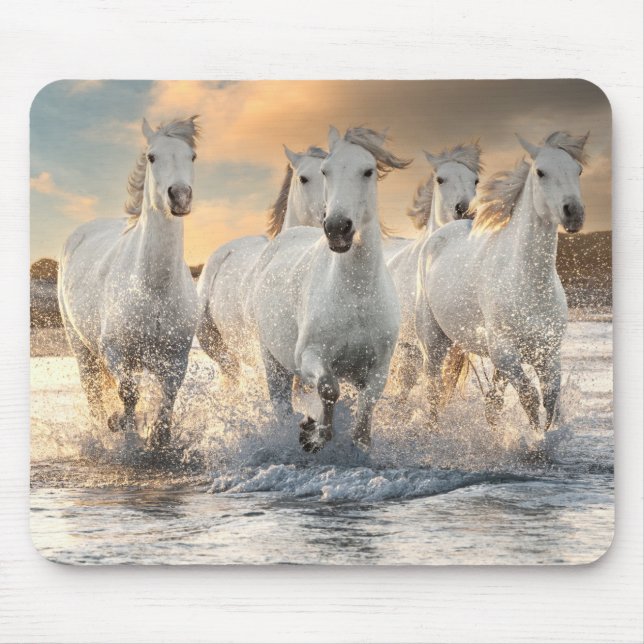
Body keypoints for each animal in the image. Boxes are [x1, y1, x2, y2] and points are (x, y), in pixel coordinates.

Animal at [58, 116, 200, 449]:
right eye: (152, 157)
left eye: (192, 156)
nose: (180, 196)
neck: (154, 289)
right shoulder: (114, 352)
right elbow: (128, 395)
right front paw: (121, 428)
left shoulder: (176, 358)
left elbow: (167, 399)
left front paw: (158, 439)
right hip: (82, 349)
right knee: (94, 395)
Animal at [252, 126, 412, 453]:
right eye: (327, 171)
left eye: (368, 171)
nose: (337, 228)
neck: (356, 295)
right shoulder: (309, 357)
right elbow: (328, 389)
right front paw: (313, 433)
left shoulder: (379, 368)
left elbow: (365, 411)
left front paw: (357, 443)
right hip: (273, 363)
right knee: (281, 405)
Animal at [415, 131, 588, 432]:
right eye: (541, 172)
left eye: (577, 170)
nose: (573, 213)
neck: (527, 283)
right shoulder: (505, 352)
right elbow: (529, 397)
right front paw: (534, 440)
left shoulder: (548, 353)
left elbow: (549, 399)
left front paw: (543, 436)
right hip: (434, 341)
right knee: (433, 389)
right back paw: (432, 431)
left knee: (491, 401)